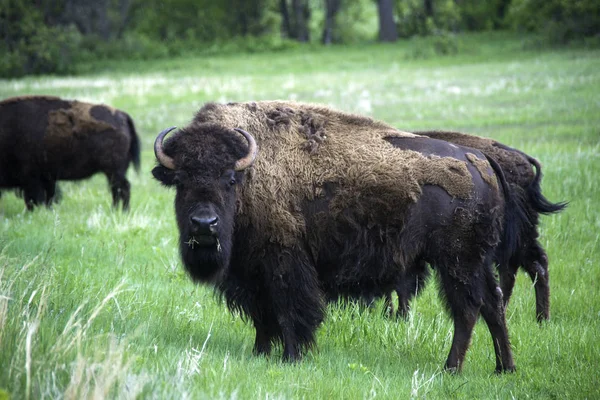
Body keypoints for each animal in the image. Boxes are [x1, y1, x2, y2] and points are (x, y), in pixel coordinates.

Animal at [0, 95, 141, 211]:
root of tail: (123, 115)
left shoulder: (32, 179)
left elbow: (34, 199)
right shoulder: (46, 179)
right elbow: (48, 197)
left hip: (113, 171)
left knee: (122, 188)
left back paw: (121, 211)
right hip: (114, 172)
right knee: (117, 190)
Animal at [151, 101, 528, 374]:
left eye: (229, 178)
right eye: (180, 180)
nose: (204, 224)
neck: (251, 174)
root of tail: (481, 159)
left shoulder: (285, 266)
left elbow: (289, 313)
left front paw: (291, 357)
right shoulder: (251, 274)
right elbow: (263, 317)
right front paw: (260, 353)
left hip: (457, 261)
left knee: (467, 309)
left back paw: (451, 368)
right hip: (478, 261)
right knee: (493, 303)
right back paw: (504, 368)